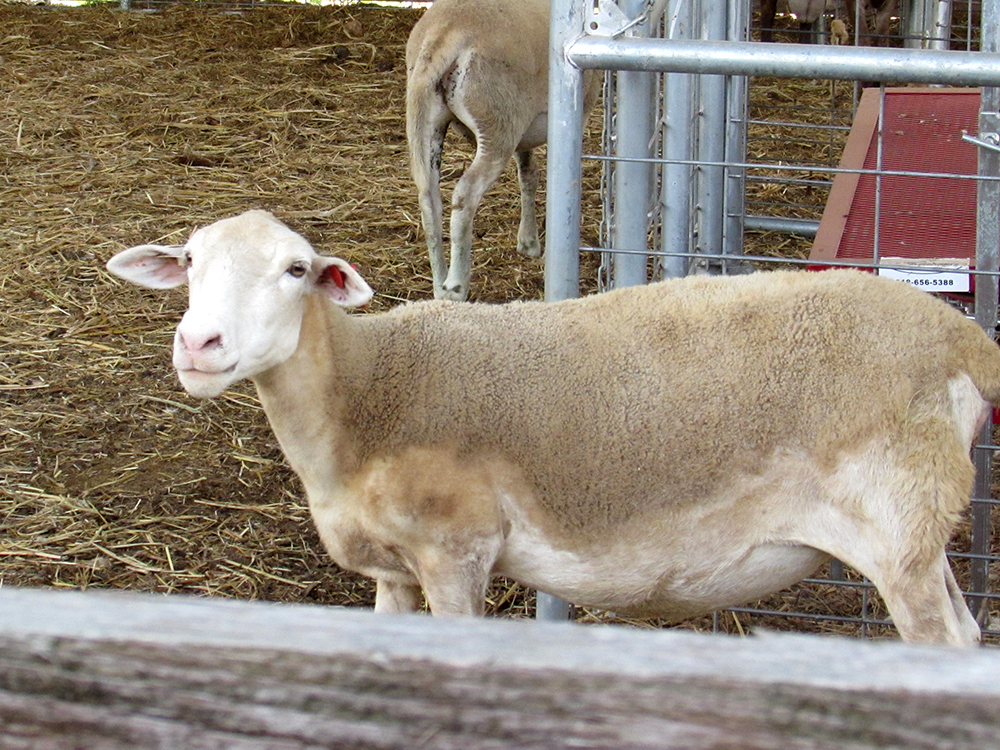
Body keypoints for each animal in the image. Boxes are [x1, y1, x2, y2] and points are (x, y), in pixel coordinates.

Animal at [106, 210, 1000, 645]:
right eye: (188, 263)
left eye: (296, 270)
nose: (197, 345)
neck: (366, 394)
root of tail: (960, 339)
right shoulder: (394, 572)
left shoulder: (456, 552)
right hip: (918, 531)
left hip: (897, 525)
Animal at [406, 0, 599, 301]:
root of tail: (440, 35)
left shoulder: (525, 131)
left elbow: (528, 174)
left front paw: (528, 242)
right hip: (497, 123)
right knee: (465, 194)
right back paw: (456, 286)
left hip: (432, 119)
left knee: (428, 197)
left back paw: (439, 285)